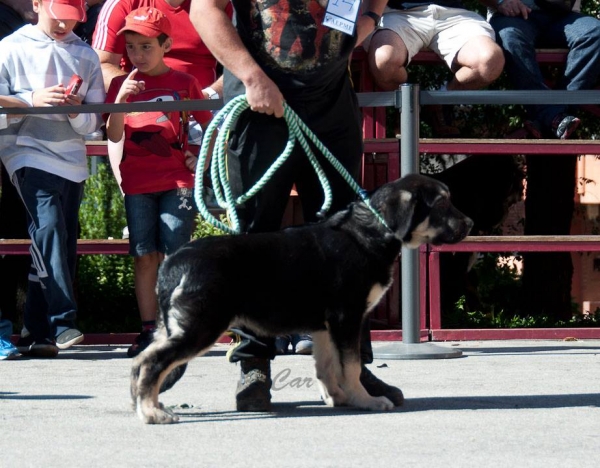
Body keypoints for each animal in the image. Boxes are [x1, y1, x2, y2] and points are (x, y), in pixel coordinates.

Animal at [130, 175, 474, 424]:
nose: (470, 224)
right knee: (151, 362)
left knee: (142, 360)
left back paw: (144, 402)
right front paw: (365, 400)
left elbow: (327, 366)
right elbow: (350, 365)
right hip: (201, 327)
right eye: (442, 203)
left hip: (174, 327)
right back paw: (151, 412)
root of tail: (172, 262)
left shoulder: (324, 326)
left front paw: (337, 398)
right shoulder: (347, 316)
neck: (369, 231)